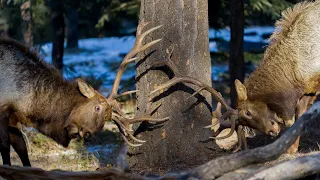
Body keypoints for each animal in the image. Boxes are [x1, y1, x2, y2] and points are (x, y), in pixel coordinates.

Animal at [0, 19, 168, 166]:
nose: (87, 134)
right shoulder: (3, 109)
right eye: (97, 107)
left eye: (107, 119)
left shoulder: (13, 119)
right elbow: (5, 147)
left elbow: (22, 150)